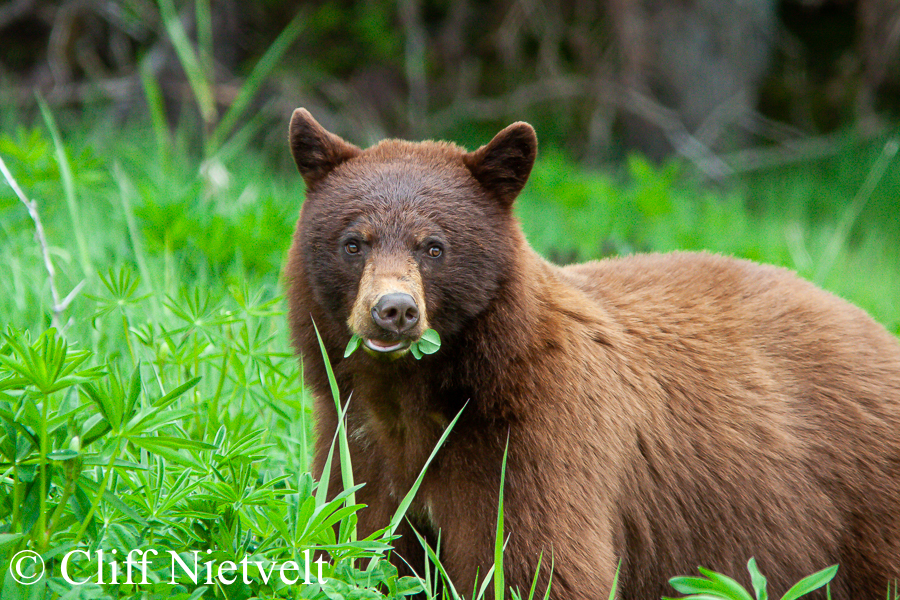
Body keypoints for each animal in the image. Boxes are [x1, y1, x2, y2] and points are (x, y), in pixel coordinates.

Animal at [284, 109, 900, 600]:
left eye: (433, 247)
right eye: (353, 242)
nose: (395, 310)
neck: (419, 399)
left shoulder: (538, 436)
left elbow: (539, 564)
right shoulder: (357, 439)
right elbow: (353, 541)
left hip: (861, 499)